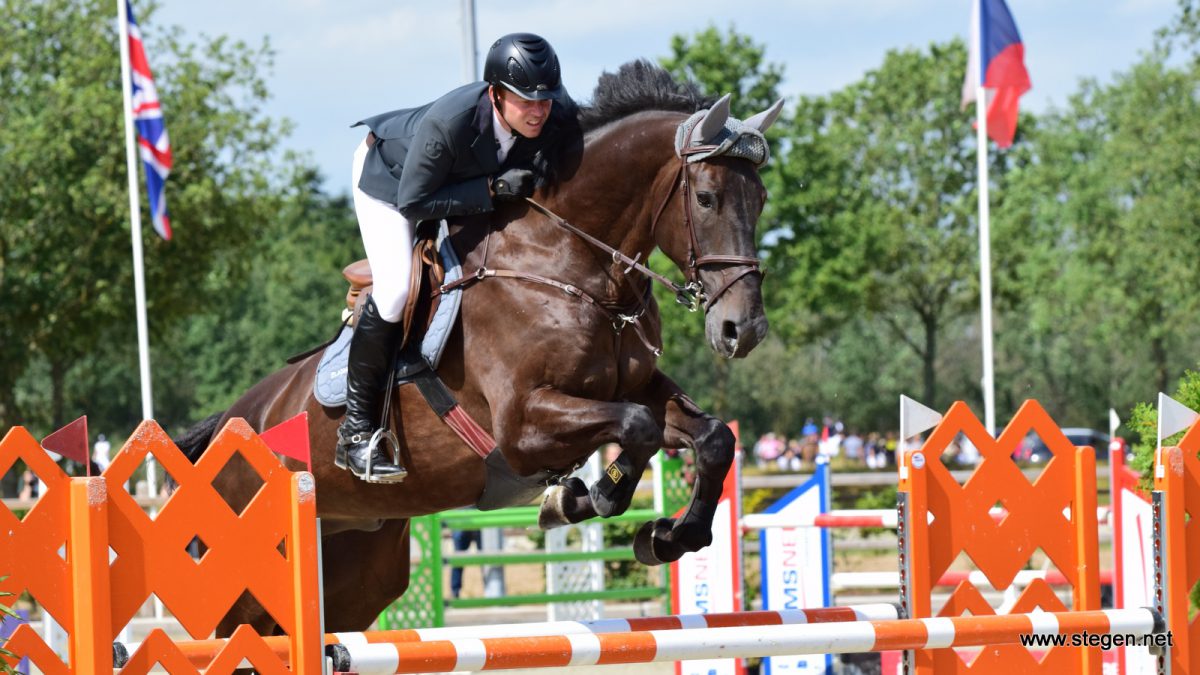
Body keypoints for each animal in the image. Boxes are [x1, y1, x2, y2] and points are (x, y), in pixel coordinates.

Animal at [177, 60, 777, 634]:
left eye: (762, 198)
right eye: (706, 198)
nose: (742, 329)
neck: (569, 266)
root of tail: (229, 423)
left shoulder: (635, 386)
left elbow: (712, 437)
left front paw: (667, 536)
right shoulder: (523, 423)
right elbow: (638, 427)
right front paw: (585, 498)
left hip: (358, 569)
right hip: (247, 583)